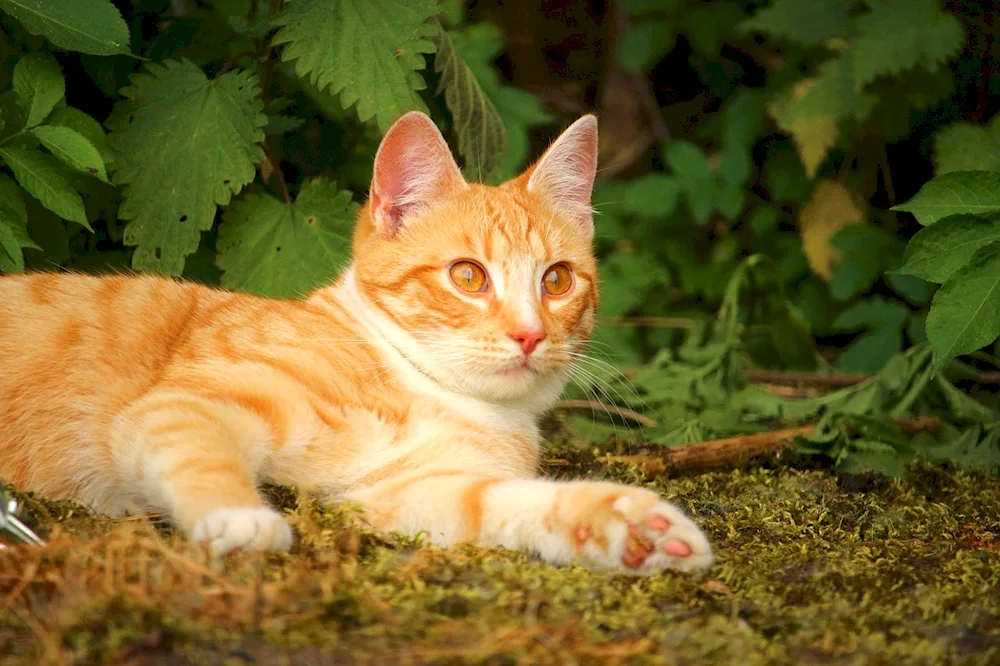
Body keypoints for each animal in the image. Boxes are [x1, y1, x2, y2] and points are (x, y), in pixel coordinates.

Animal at [1, 111, 720, 572]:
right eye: (468, 276)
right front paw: (239, 518)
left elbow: (500, 502)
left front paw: (622, 526)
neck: (427, 390)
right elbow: (202, 455)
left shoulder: (393, 494)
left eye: (557, 279)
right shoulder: (180, 405)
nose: (529, 333)